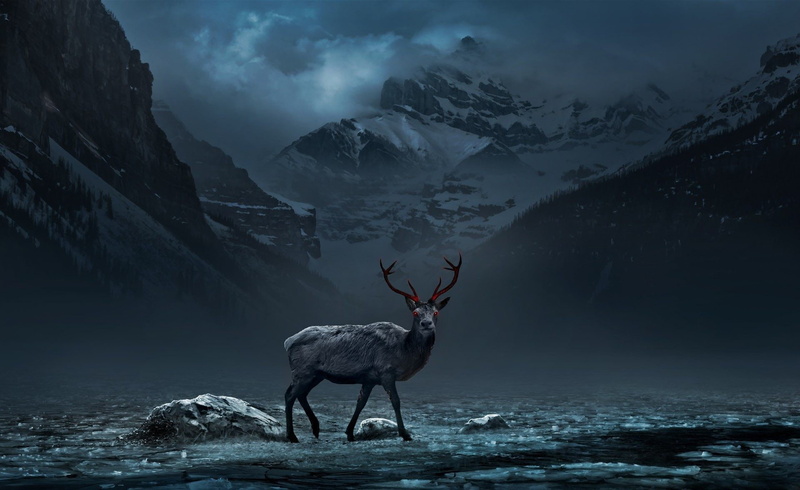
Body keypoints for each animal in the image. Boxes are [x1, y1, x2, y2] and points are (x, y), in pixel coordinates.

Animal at [283, 254, 462, 443]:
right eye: (415, 313)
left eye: (436, 312)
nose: (426, 323)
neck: (404, 351)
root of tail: (288, 341)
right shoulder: (386, 372)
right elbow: (396, 401)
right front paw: (405, 434)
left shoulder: (369, 378)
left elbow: (361, 402)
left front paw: (349, 433)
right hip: (302, 370)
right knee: (289, 395)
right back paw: (292, 436)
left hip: (316, 374)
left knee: (302, 394)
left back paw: (316, 428)